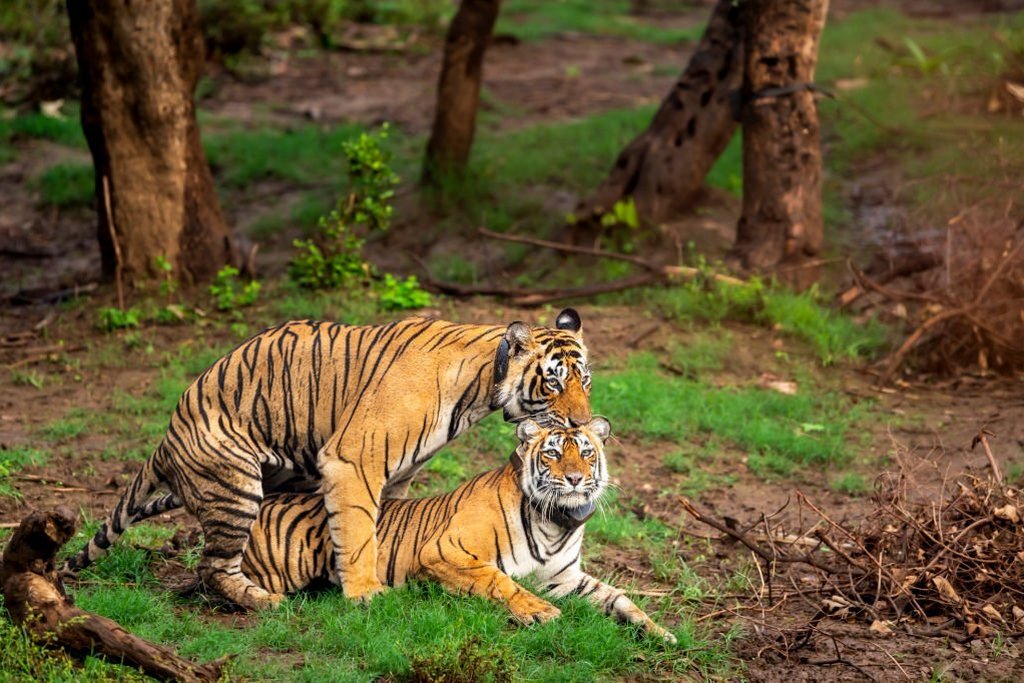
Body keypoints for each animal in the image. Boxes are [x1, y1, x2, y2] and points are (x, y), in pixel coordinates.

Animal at [64, 309, 593, 610]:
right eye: (553, 381)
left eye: (584, 380)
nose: (583, 421)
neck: (482, 386)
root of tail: (166, 437)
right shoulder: (353, 458)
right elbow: (358, 530)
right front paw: (365, 594)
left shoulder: (399, 471)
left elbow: (383, 526)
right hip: (236, 486)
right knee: (214, 566)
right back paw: (264, 601)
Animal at [235, 413, 675, 643]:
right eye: (552, 453)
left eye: (586, 453)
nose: (575, 479)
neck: (557, 523)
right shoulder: (444, 550)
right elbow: (500, 581)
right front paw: (540, 612)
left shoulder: (563, 578)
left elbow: (618, 598)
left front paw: (660, 632)